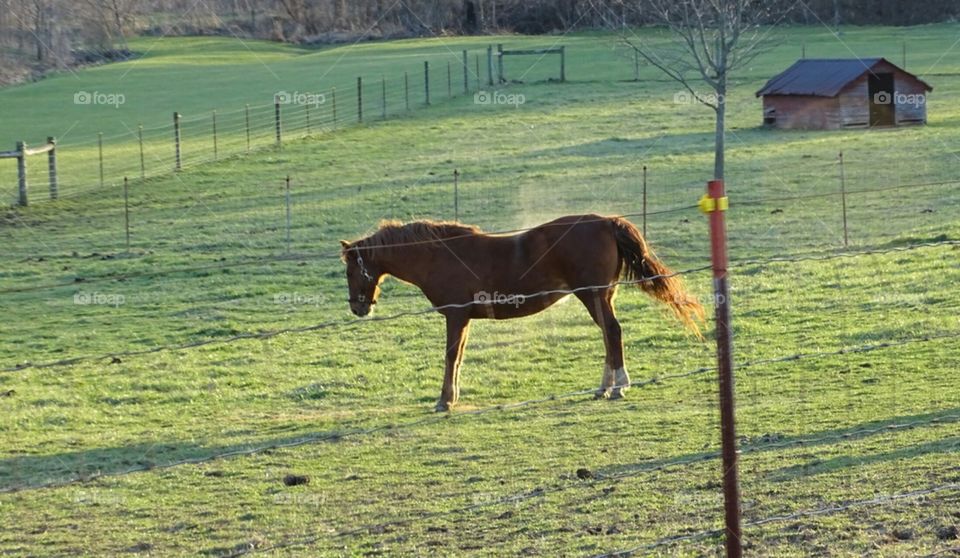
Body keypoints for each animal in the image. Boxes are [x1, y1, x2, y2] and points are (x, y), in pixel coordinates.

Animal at [340, 214, 705, 412]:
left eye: (350, 270)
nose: (358, 307)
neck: (439, 255)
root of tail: (607, 222)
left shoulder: (456, 317)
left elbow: (450, 356)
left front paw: (444, 400)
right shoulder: (464, 319)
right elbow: (458, 358)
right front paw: (450, 397)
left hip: (593, 296)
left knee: (613, 332)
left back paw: (619, 386)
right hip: (602, 296)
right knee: (608, 335)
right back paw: (604, 387)